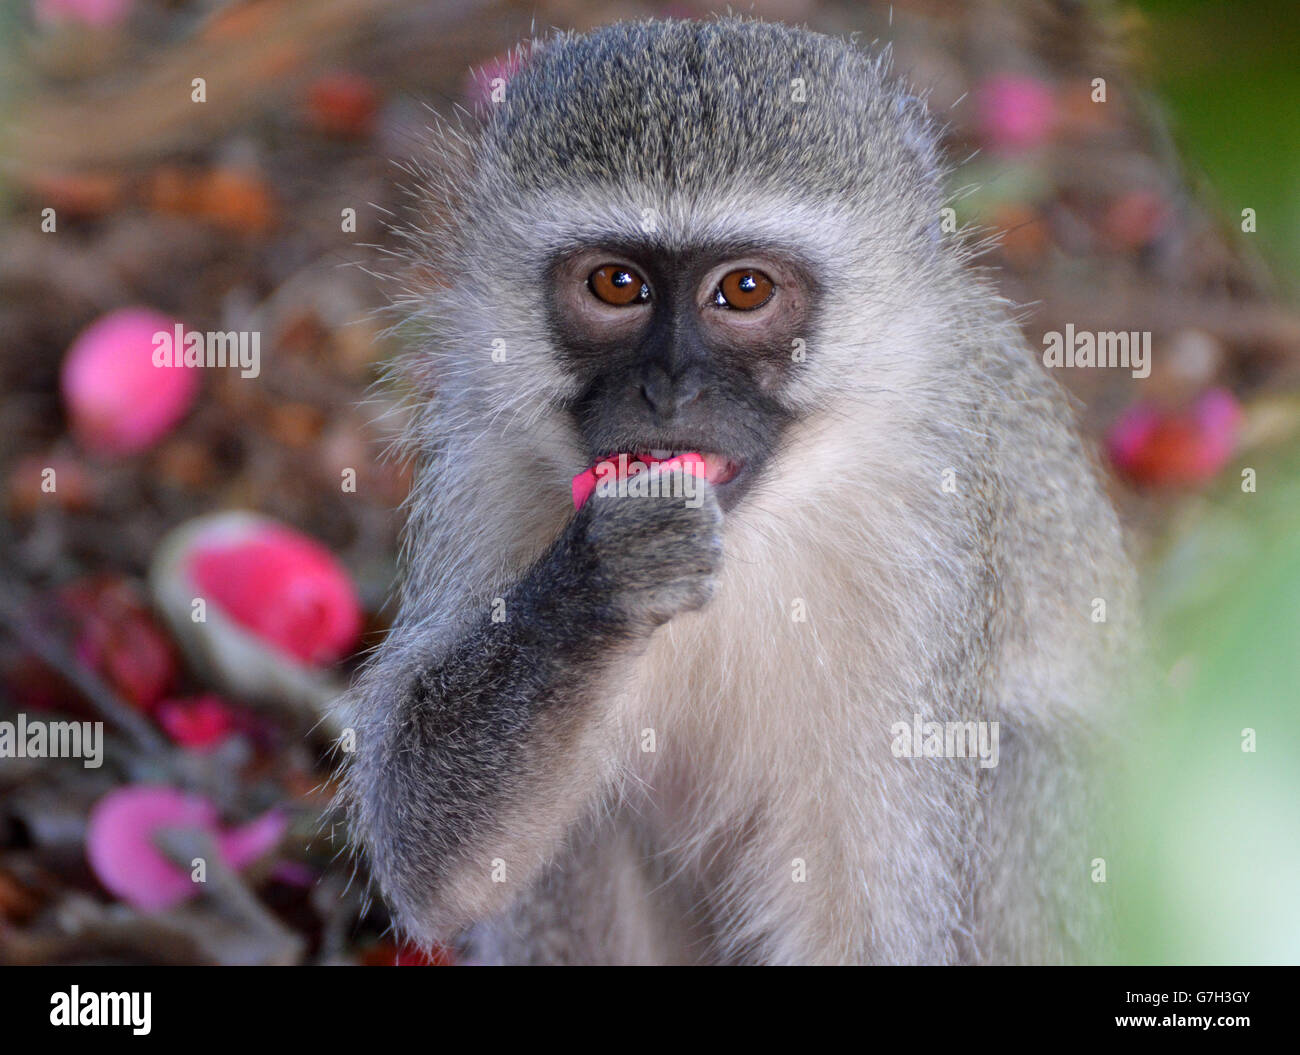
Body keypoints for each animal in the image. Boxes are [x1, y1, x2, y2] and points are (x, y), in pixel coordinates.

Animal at [338, 17, 1137, 965]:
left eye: (745, 290)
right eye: (617, 283)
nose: (669, 388)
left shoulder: (929, 528)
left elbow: (866, 922)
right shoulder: (482, 460)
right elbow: (429, 855)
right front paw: (606, 577)